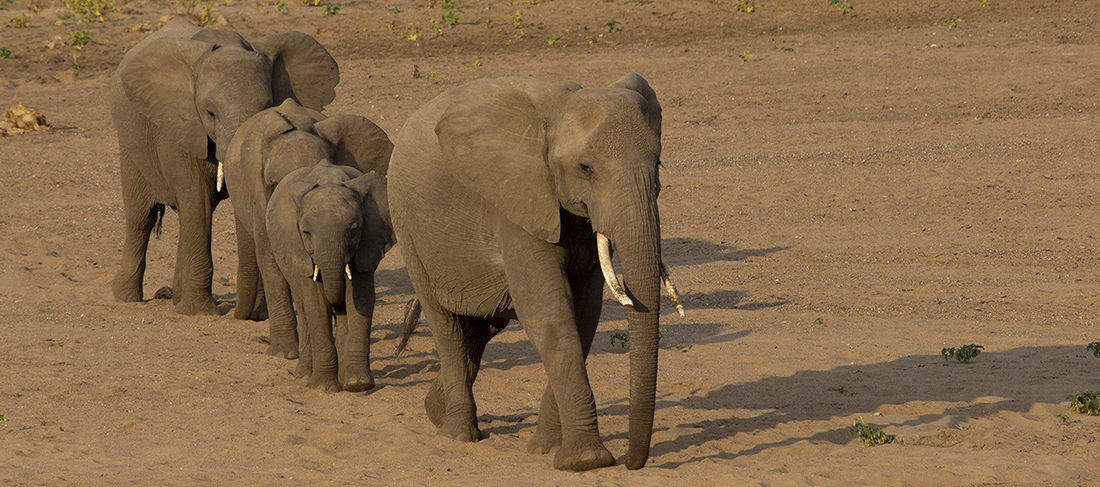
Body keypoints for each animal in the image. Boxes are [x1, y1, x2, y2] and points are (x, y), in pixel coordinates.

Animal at [109, 17, 339, 315]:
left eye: (267, 106)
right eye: (210, 113)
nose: (248, 315)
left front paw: (257, 315)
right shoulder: (178, 127)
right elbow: (197, 203)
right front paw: (200, 313)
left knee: (184, 218)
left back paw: (176, 299)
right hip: (130, 143)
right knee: (143, 216)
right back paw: (127, 297)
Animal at [266, 160, 395, 392]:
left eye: (353, 230)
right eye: (306, 232)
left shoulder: (366, 244)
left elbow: (361, 300)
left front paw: (359, 385)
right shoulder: (300, 249)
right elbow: (316, 304)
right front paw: (322, 388)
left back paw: (343, 376)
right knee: (304, 308)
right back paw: (305, 374)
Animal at [387, 73, 683, 471]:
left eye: (659, 163)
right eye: (585, 168)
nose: (630, 462)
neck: (557, 111)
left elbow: (584, 314)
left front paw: (547, 448)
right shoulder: (516, 203)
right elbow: (550, 314)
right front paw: (587, 461)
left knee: (484, 326)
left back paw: (435, 410)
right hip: (407, 225)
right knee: (446, 326)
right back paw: (458, 434)